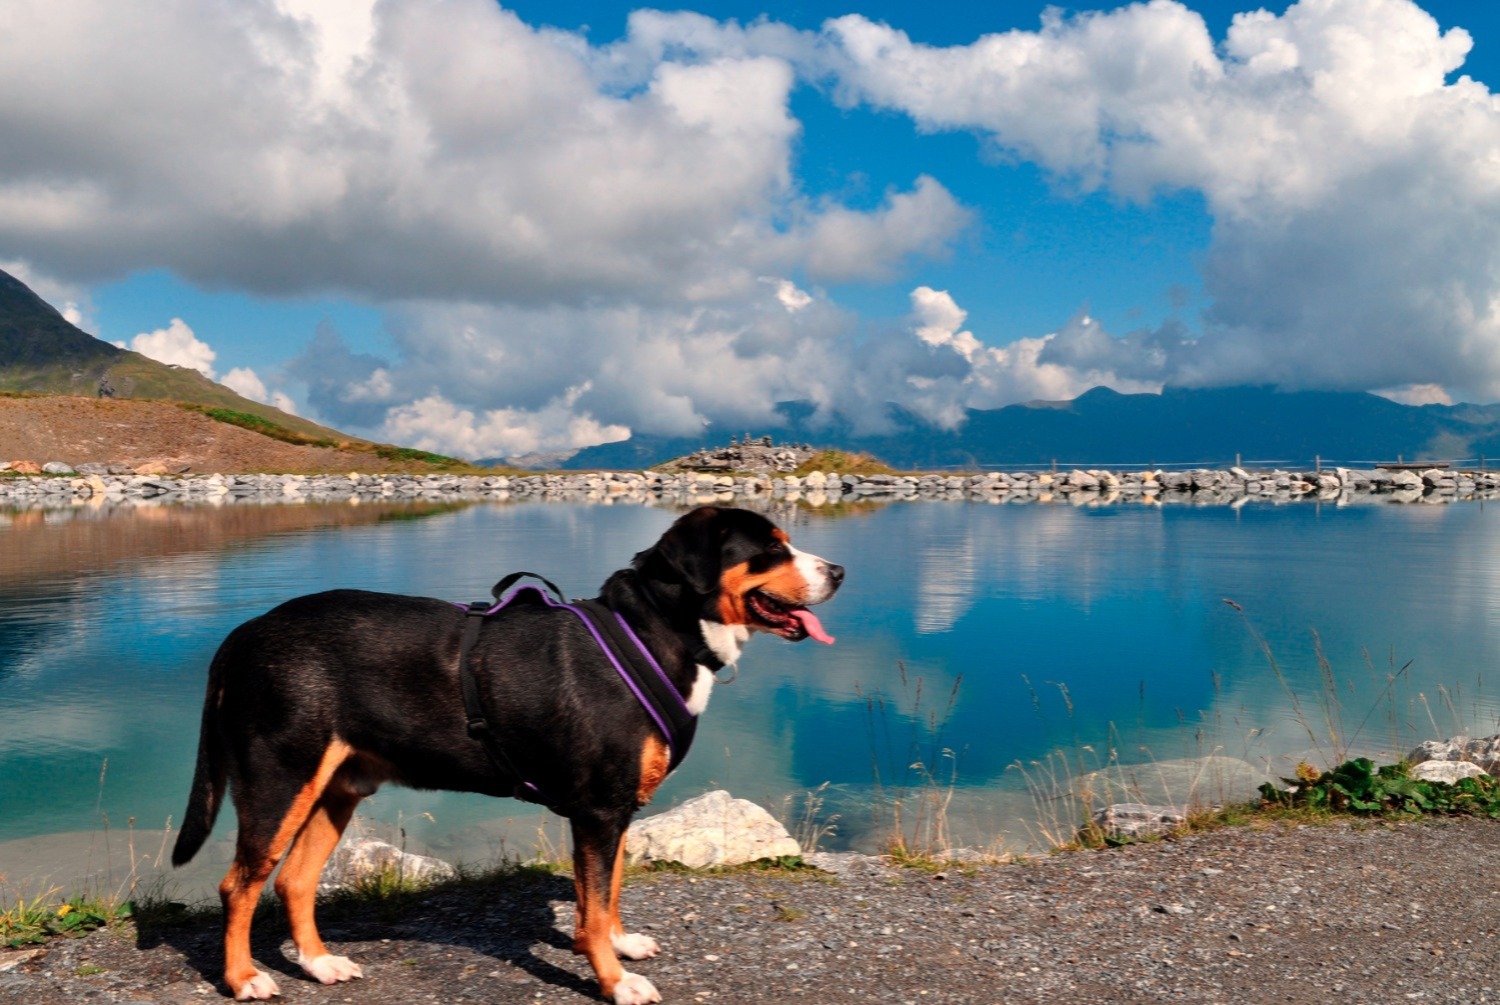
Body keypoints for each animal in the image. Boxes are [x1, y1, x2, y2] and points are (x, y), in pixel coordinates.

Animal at [175, 507, 846, 1005]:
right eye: (771, 549)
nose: (839, 570)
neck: (654, 631)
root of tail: (244, 635)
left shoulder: (615, 811)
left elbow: (606, 895)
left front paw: (619, 947)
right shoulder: (599, 811)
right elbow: (594, 908)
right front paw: (615, 981)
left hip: (336, 789)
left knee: (294, 880)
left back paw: (319, 965)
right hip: (278, 784)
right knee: (239, 885)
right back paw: (244, 978)